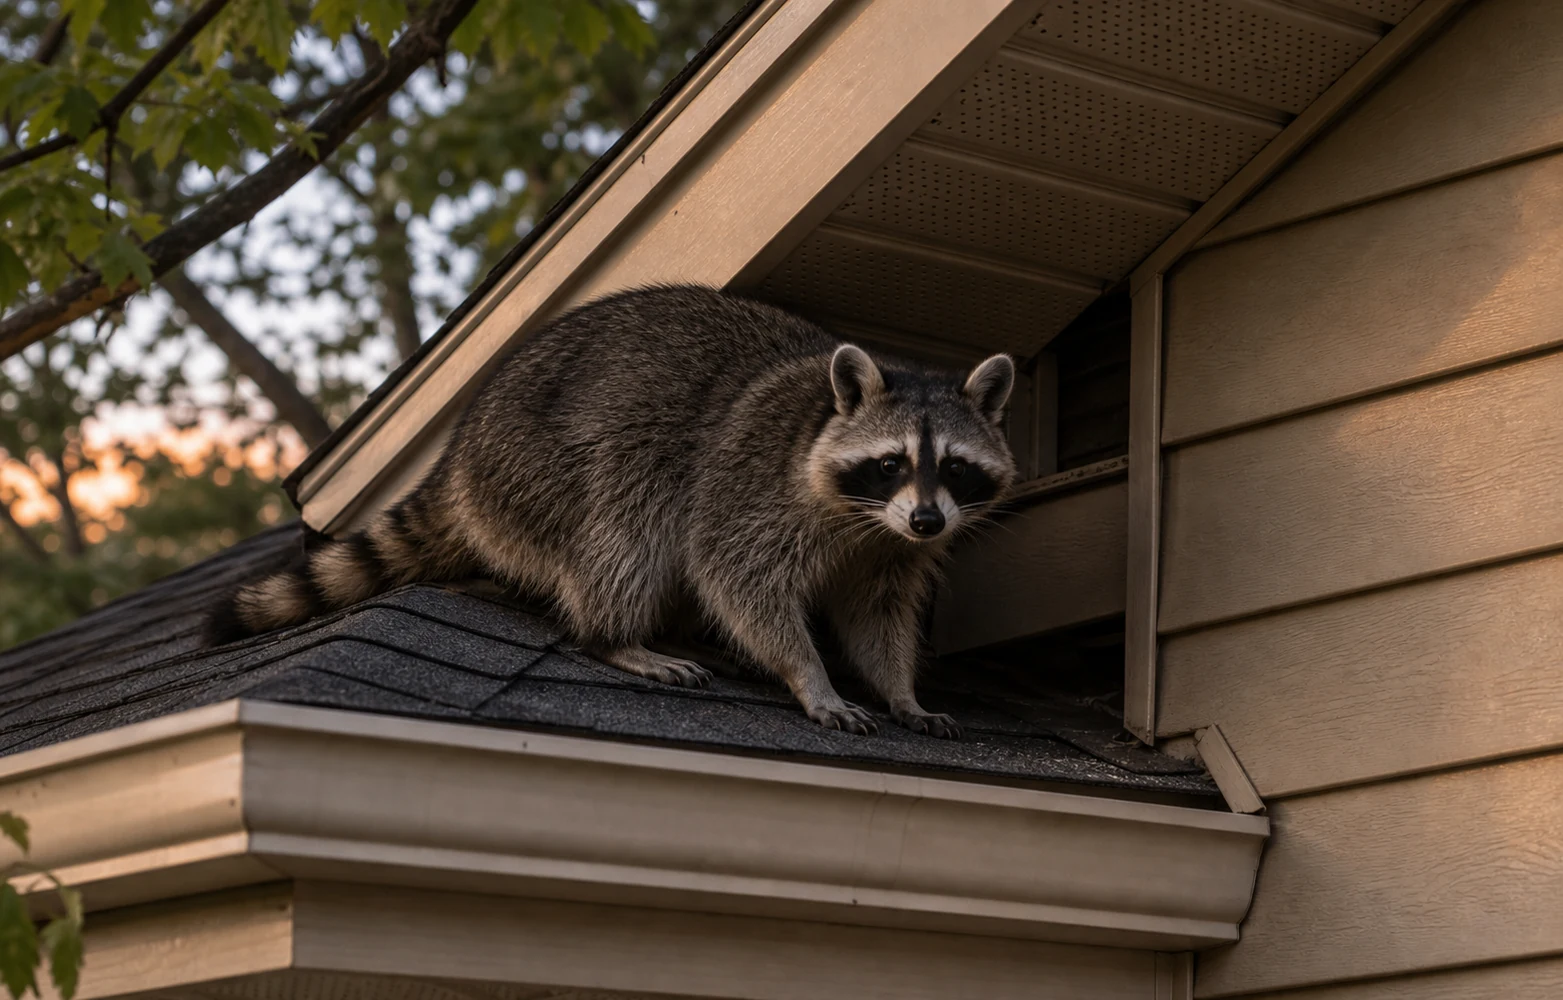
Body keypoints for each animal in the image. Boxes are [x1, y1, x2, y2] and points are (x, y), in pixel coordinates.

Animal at [213, 285, 1018, 737]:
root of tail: (459, 451)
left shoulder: (892, 549)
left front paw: (899, 690)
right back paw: (616, 635)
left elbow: (877, 614)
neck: (865, 516)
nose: (927, 521)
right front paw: (808, 674)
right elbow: (735, 574)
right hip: (540, 463)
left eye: (954, 467)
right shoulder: (752, 485)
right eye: (889, 464)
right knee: (626, 513)